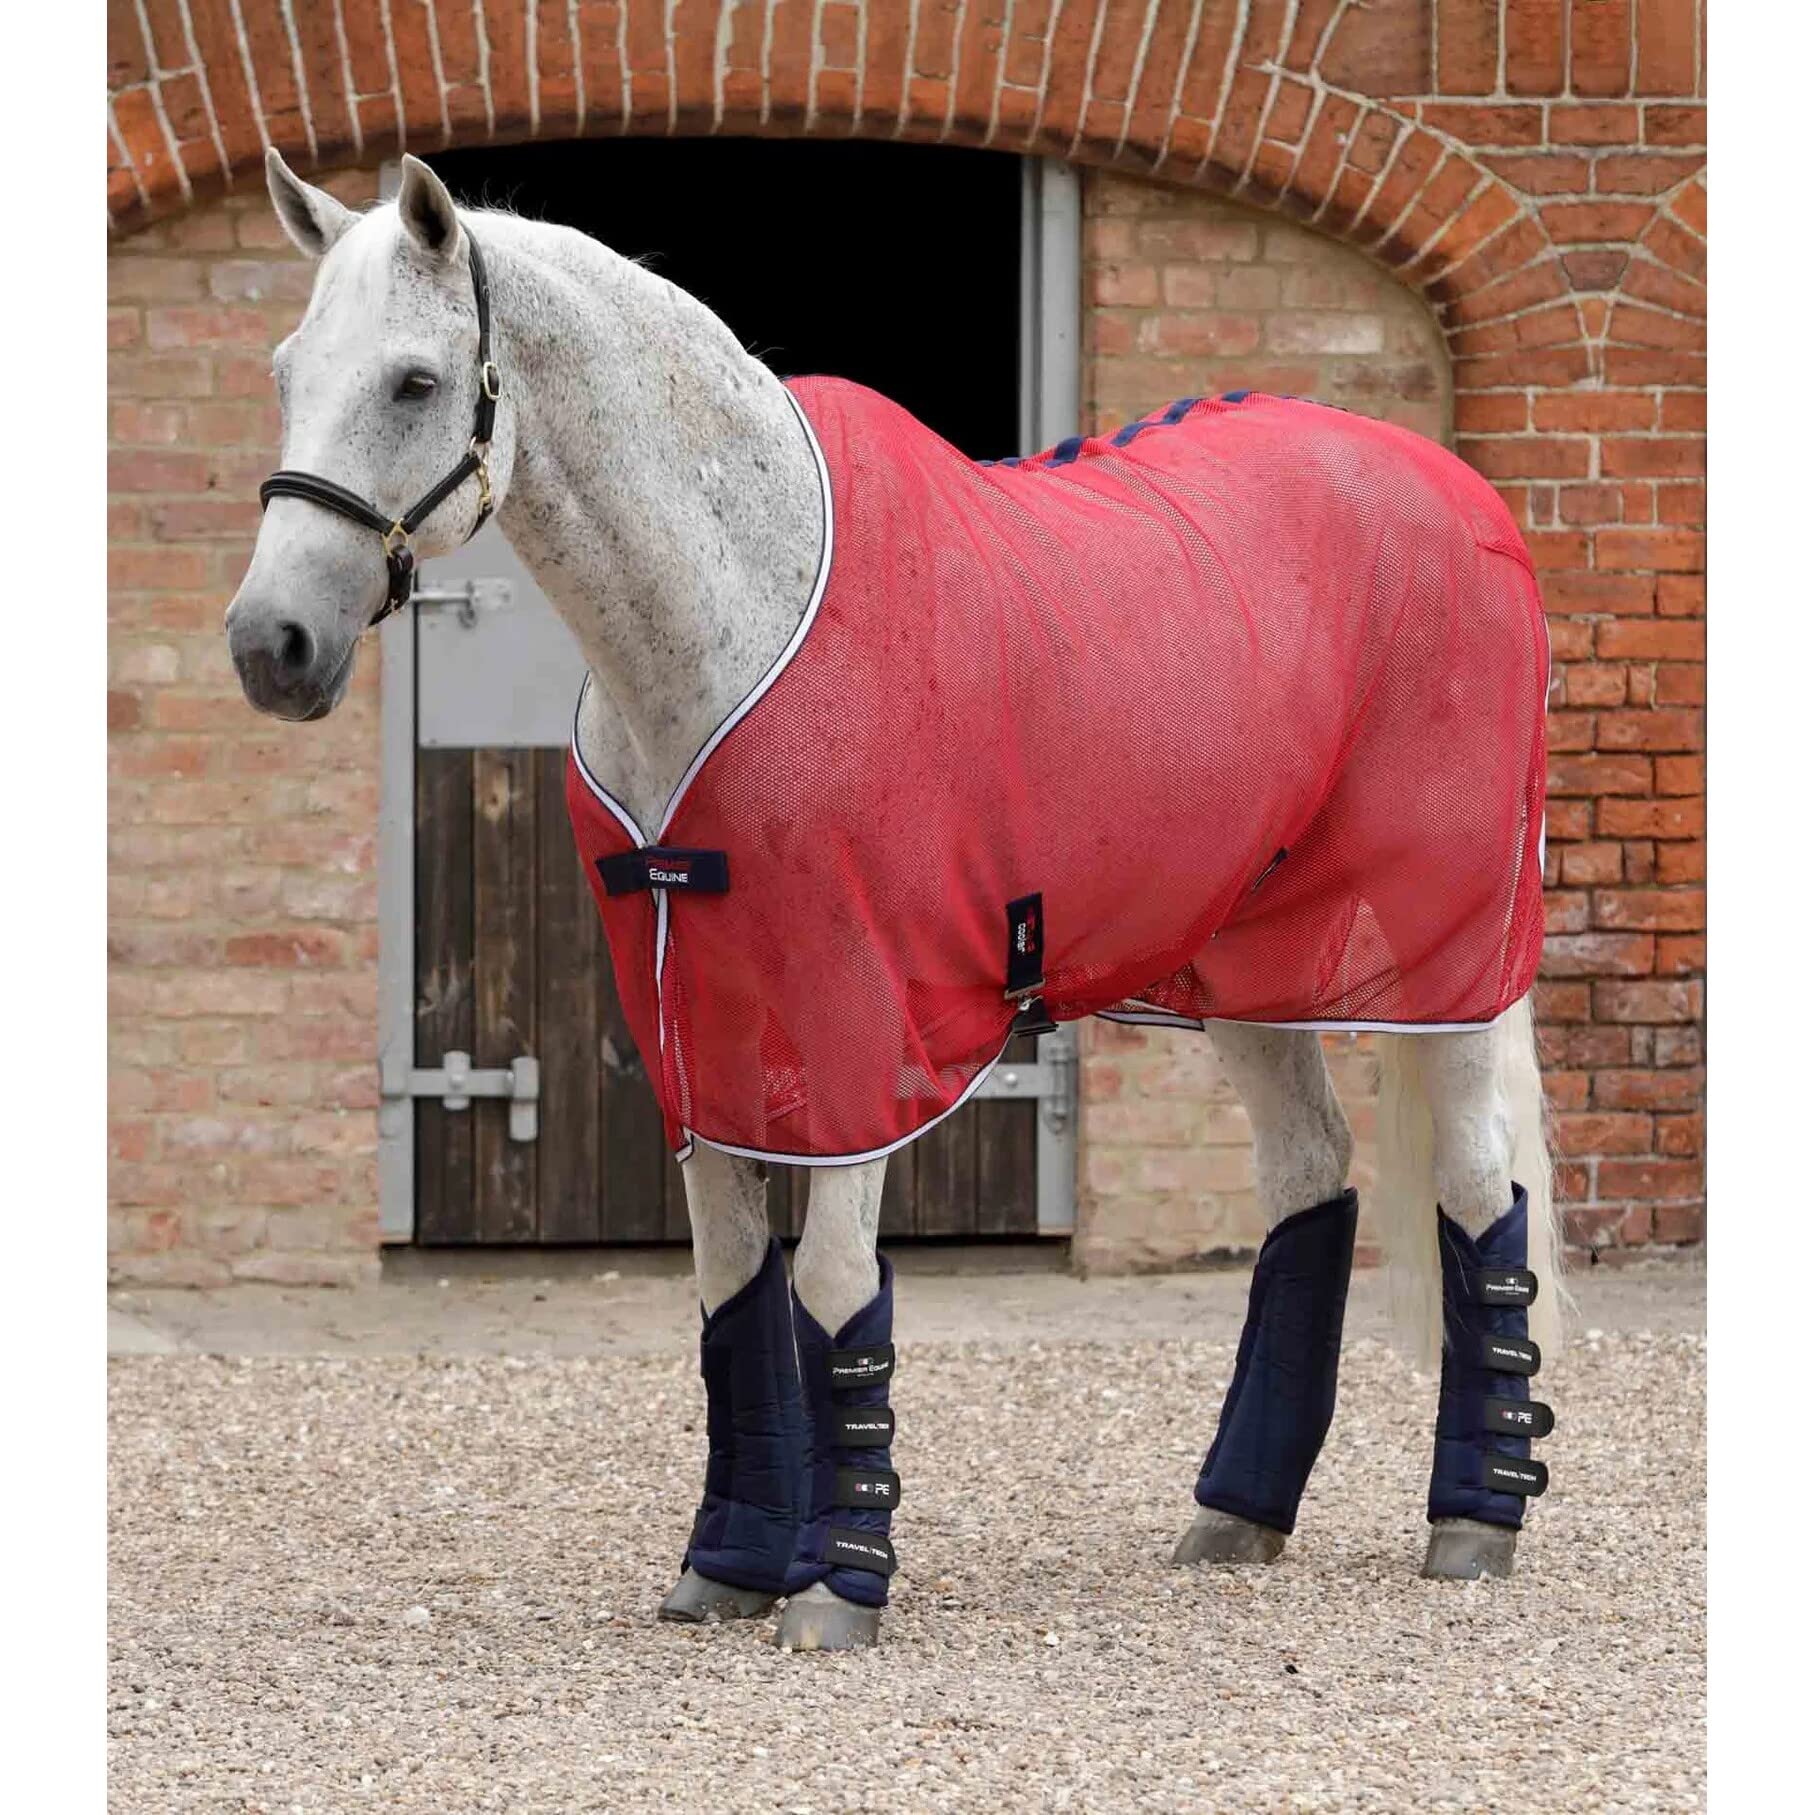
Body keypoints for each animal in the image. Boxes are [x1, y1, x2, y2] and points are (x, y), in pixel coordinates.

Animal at [227, 151, 1563, 1653]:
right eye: (286, 369)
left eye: (412, 381)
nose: (270, 645)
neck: (731, 612)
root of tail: (1456, 492)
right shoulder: (692, 1017)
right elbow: (730, 1284)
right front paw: (729, 1564)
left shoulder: (857, 1021)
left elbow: (827, 1285)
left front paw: (836, 1586)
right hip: (1244, 957)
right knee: (1307, 1177)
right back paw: (1235, 1514)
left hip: (1446, 951)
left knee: (1476, 1182)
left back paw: (1473, 1521)